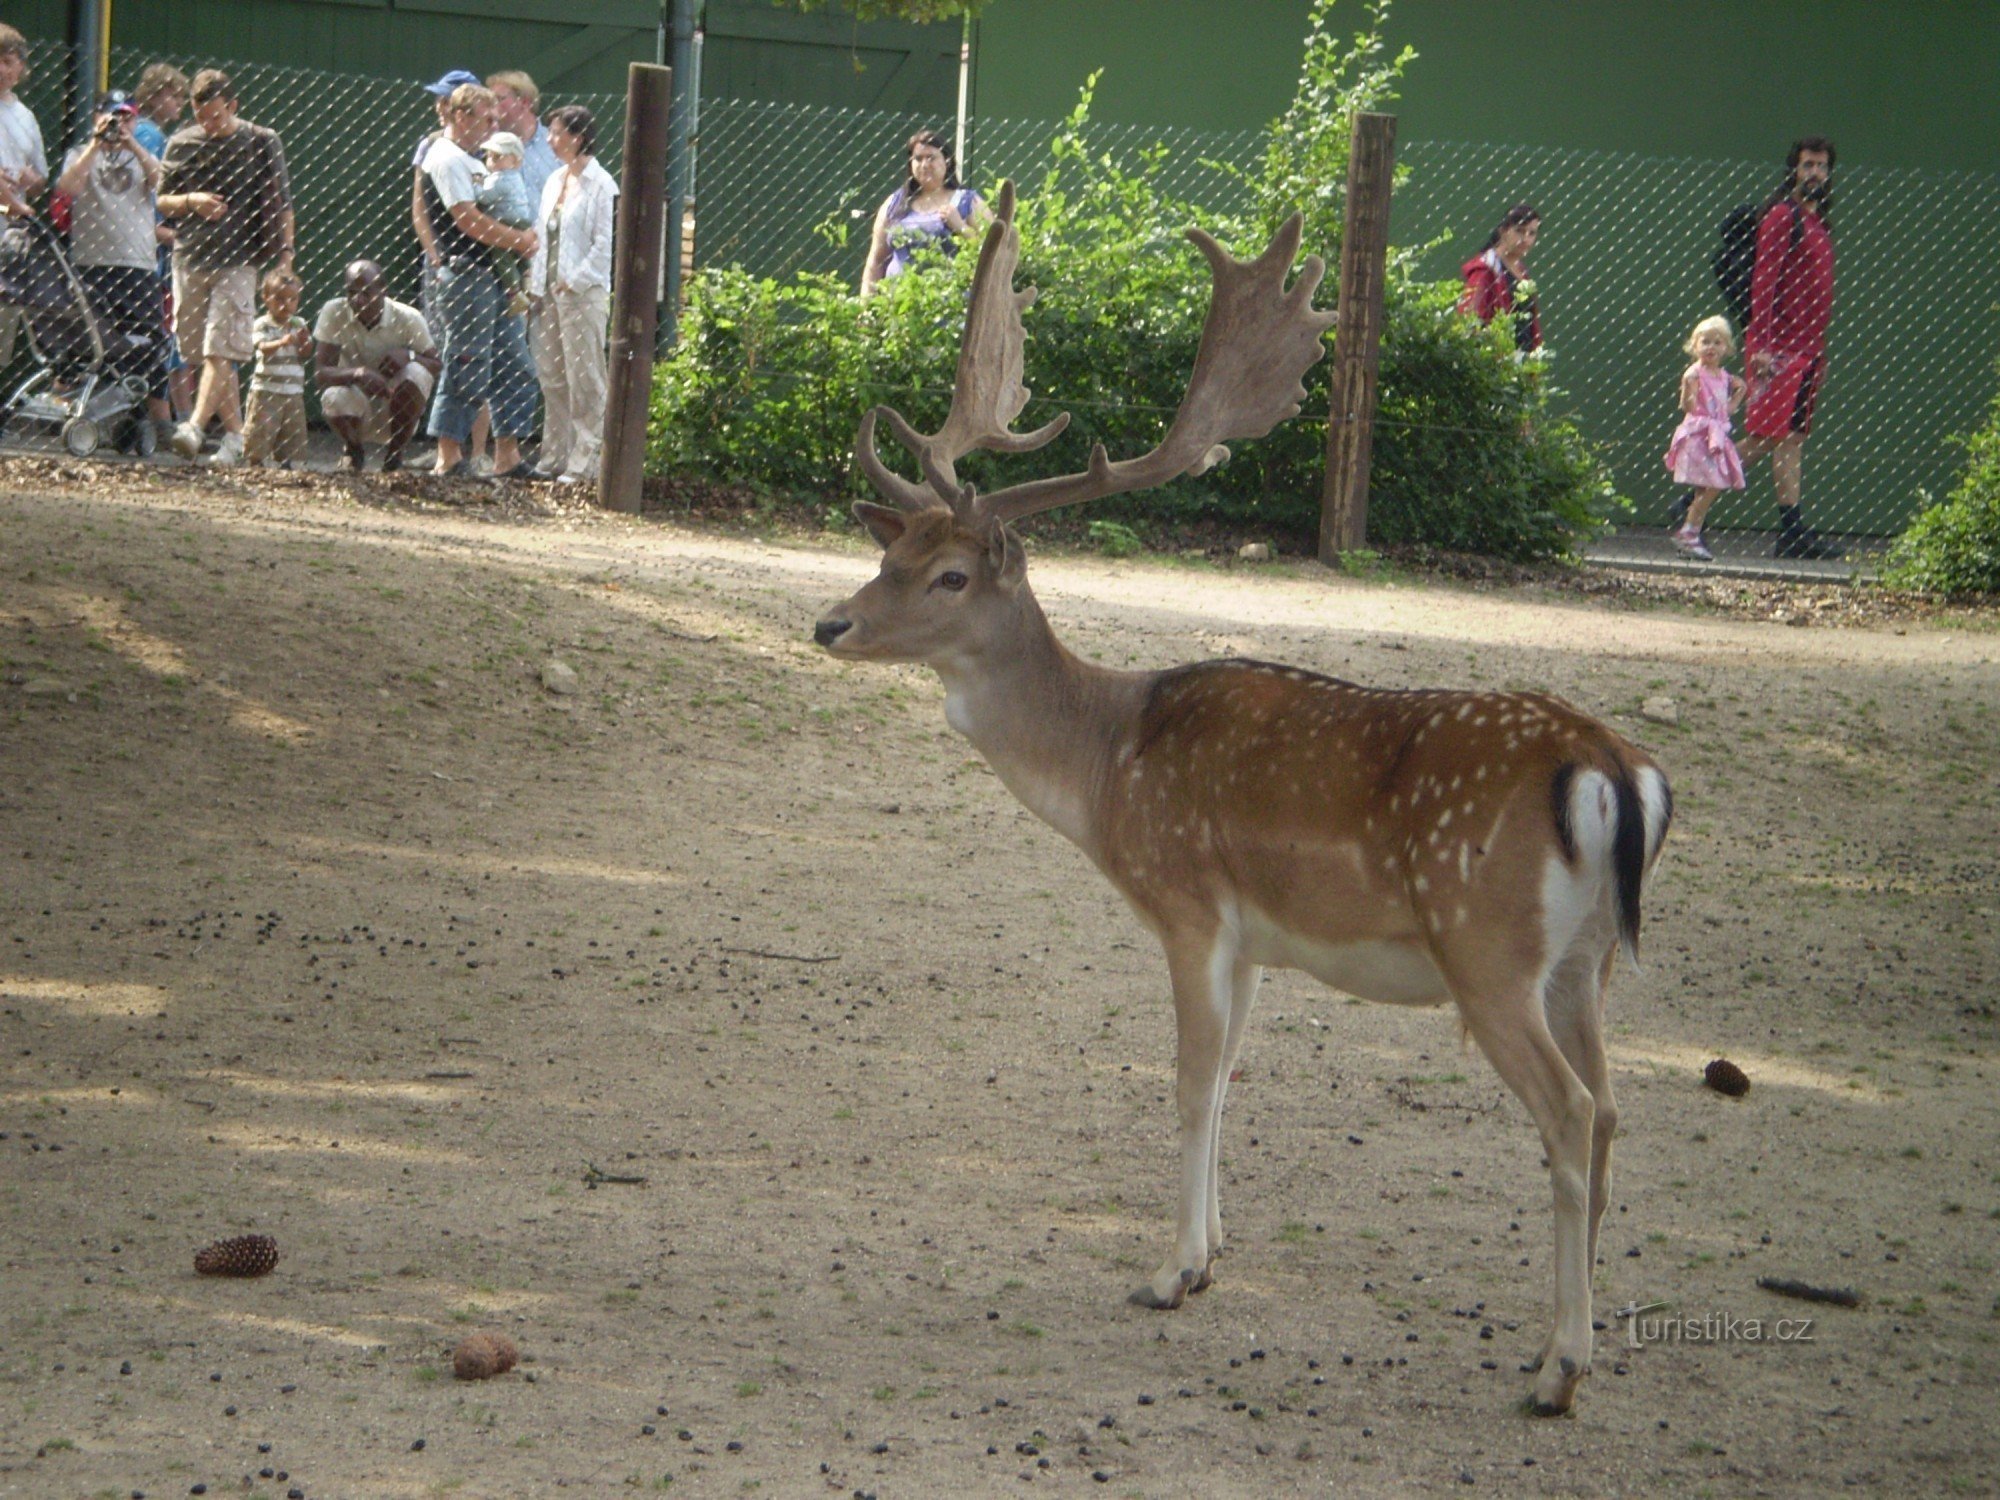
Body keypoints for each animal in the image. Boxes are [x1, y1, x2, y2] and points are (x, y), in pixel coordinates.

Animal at [812, 182, 1672, 1416]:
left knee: (1564, 1116)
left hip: (1488, 952)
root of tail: (1612, 765)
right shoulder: (1260, 937)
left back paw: (1558, 1368)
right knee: (1608, 1111)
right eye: (892, 555)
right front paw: (1211, 1257)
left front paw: (1166, 1273)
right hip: (1585, 964)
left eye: (950, 576)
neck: (1108, 763)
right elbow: (1225, 1081)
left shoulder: (1189, 904)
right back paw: (1571, 1339)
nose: (829, 624)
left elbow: (1183, 1082)